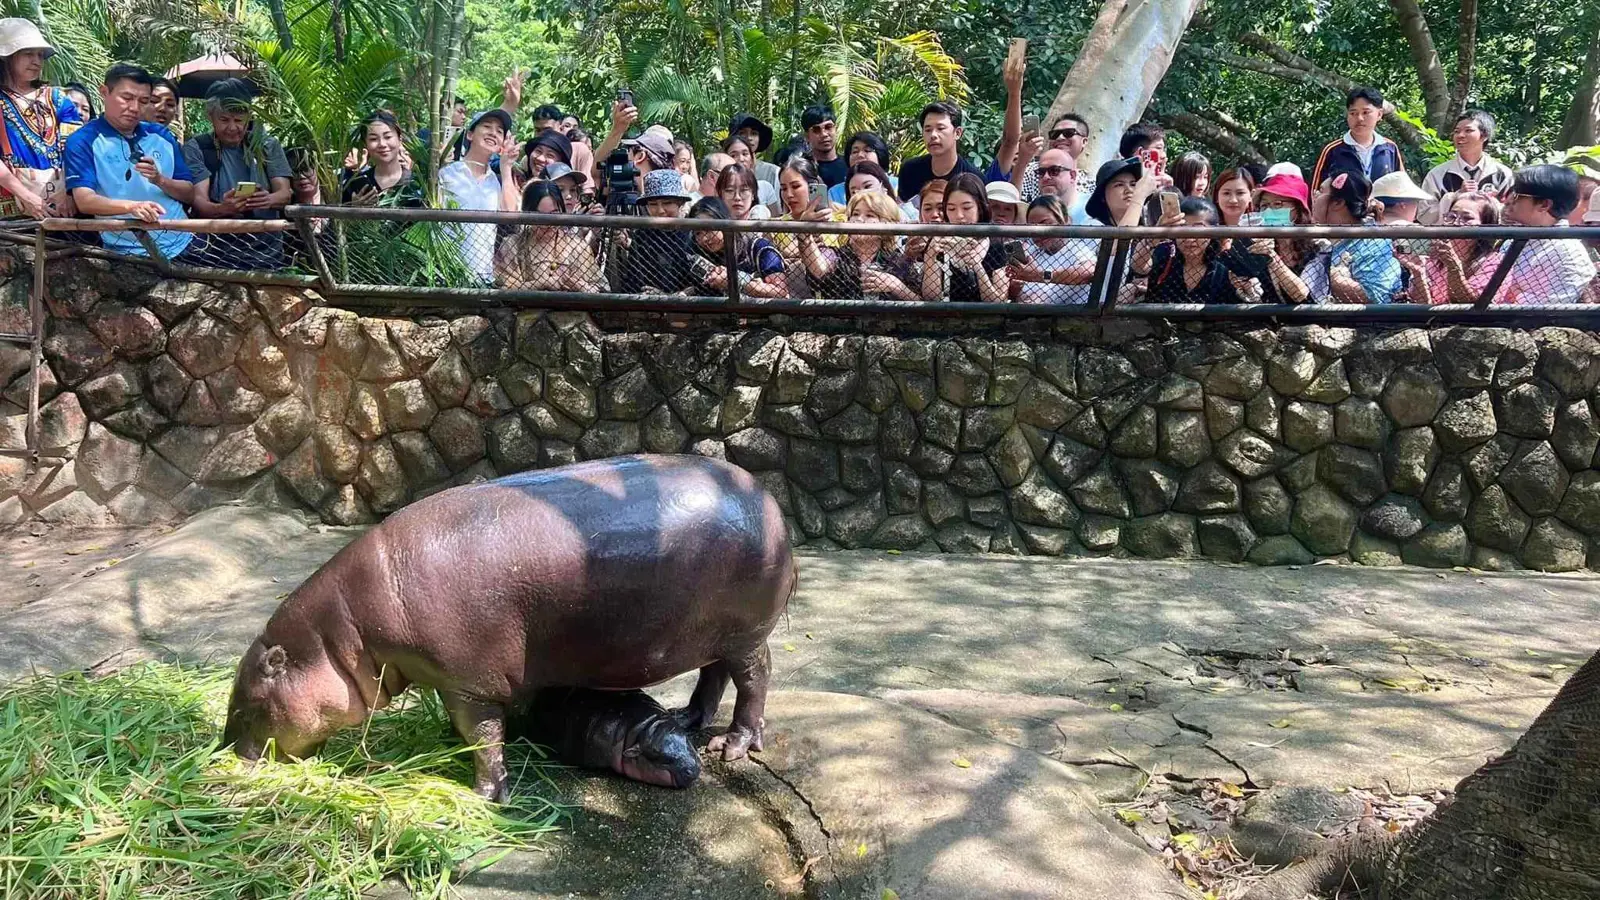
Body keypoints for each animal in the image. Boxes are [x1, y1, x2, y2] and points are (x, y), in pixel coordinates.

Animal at [222, 454, 796, 797]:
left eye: (247, 701)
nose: (225, 752)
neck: (343, 636)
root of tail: (770, 500)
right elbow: (468, 729)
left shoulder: (470, 682)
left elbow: (482, 737)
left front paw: (483, 794)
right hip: (712, 633)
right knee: (712, 675)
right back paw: (689, 718)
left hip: (747, 635)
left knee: (755, 679)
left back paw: (734, 746)